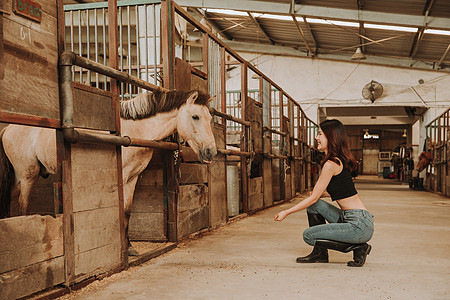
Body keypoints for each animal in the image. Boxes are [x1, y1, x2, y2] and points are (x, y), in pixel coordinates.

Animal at [0, 89, 218, 255]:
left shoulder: (132, 178)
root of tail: (8, 128)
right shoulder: (121, 176)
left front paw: (129, 247)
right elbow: (120, 211)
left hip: (18, 179)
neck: (135, 131)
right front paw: (122, 248)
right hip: (28, 176)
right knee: (23, 206)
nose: (211, 151)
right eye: (195, 116)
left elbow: (127, 211)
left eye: (209, 118)